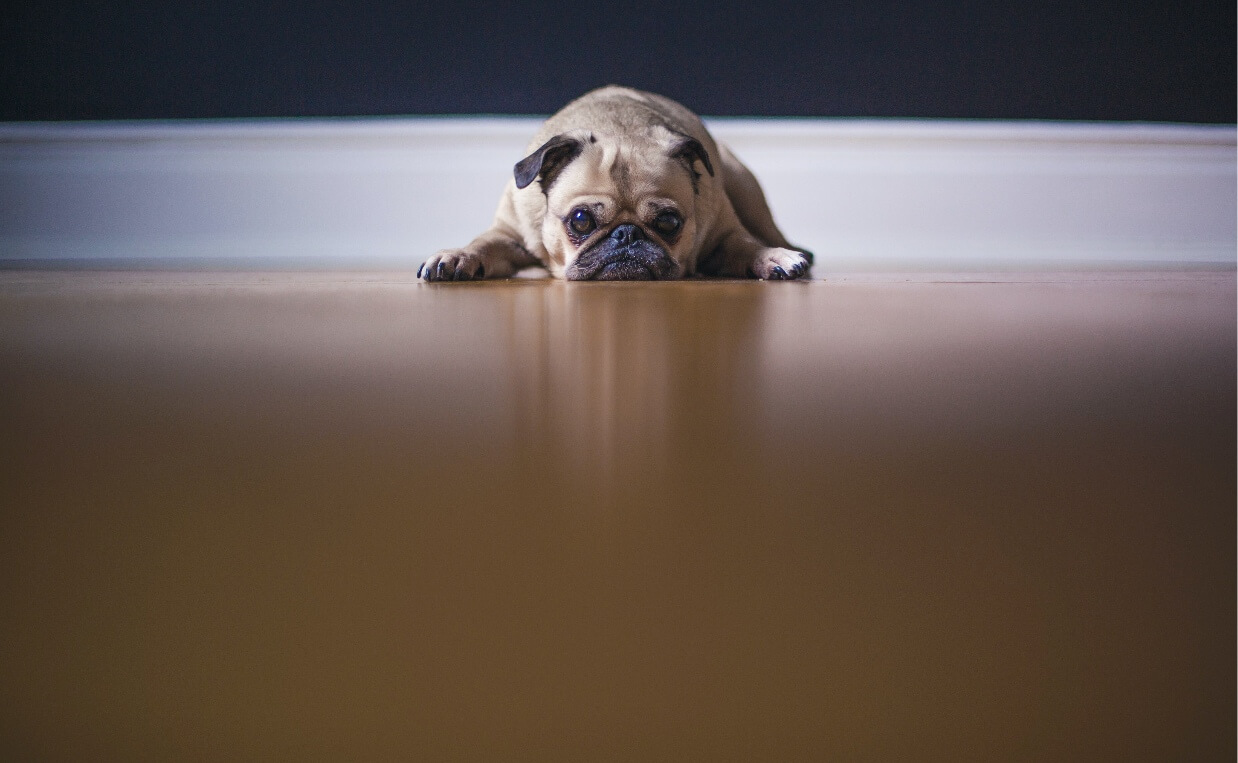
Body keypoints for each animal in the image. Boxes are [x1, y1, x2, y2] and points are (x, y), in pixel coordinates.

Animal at [420, 86, 812, 281]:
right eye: (581, 221)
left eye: (668, 222)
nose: (627, 234)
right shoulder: (508, 234)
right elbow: (483, 243)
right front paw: (457, 256)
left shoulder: (725, 235)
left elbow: (748, 246)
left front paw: (772, 257)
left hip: (744, 186)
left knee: (767, 231)